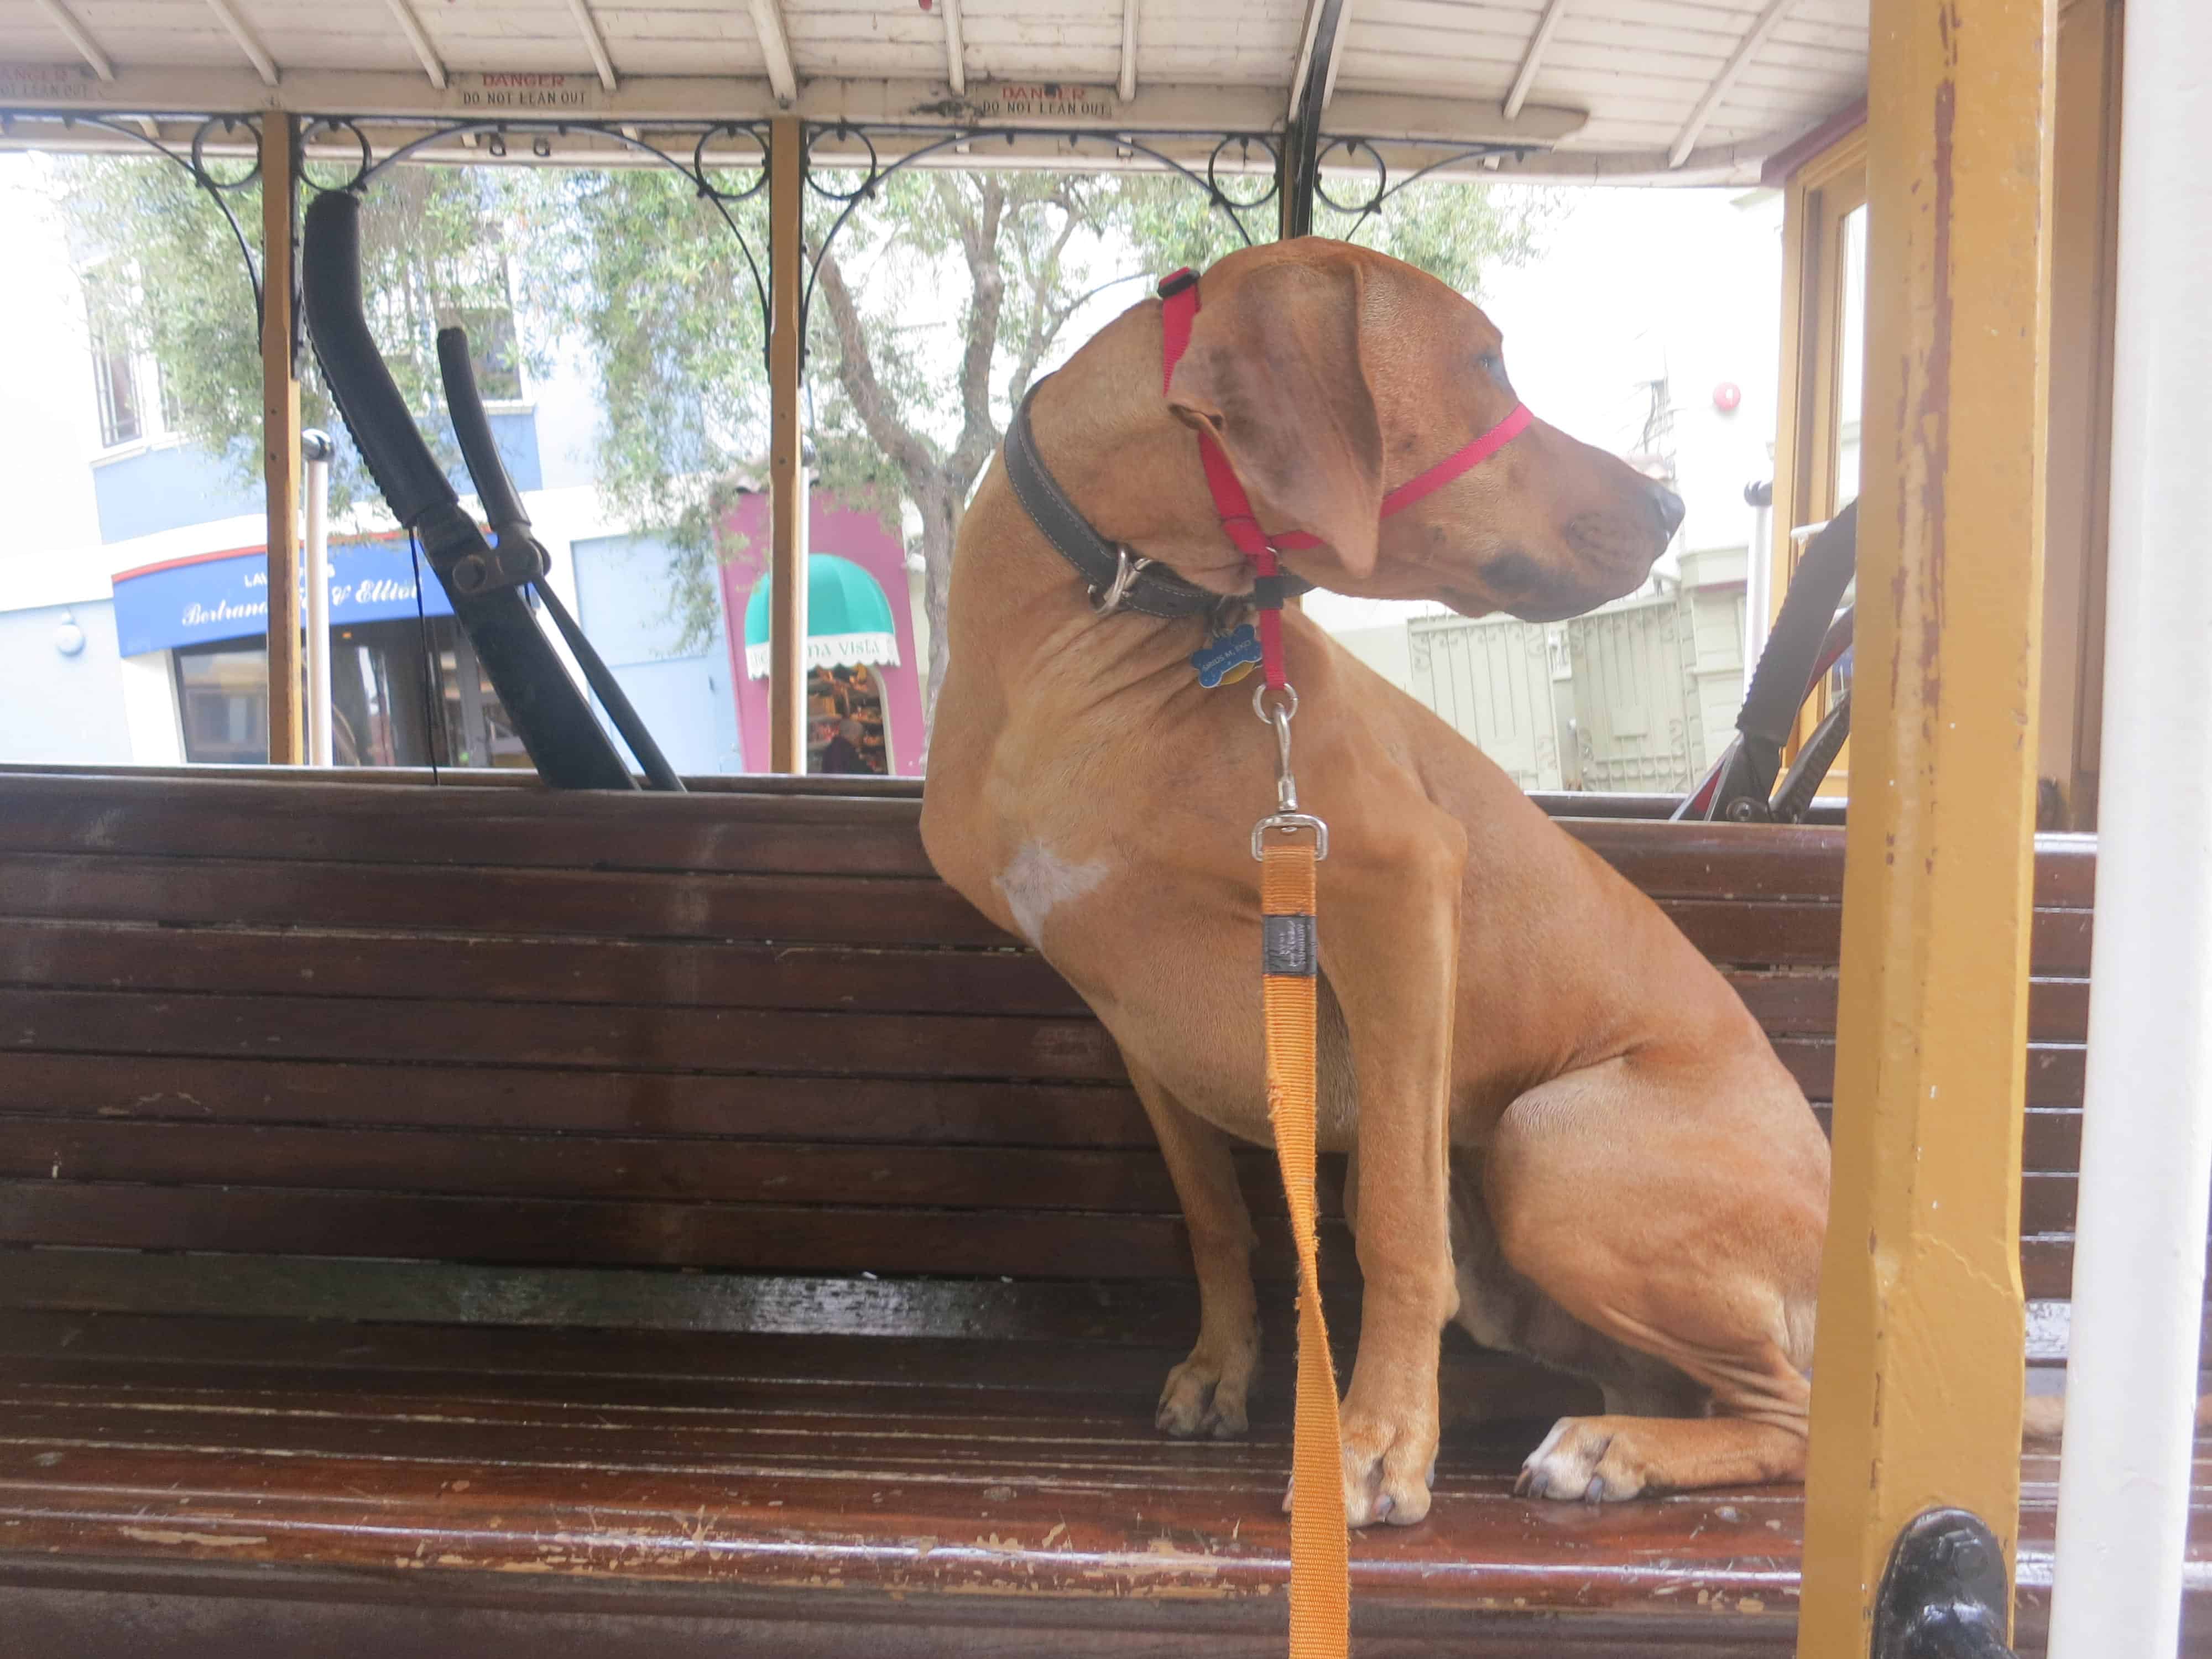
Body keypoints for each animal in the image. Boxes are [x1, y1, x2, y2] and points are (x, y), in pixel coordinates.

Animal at [920, 240, 1832, 1531]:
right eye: (1486, 364)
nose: (1670, 507)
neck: (1095, 633)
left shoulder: (1394, 890)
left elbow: (1396, 1227)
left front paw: (1377, 1441)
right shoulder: (1129, 1015)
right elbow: (1213, 1217)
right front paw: (1227, 1369)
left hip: (1548, 1140)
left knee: (1791, 1415)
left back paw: (1609, 1449)